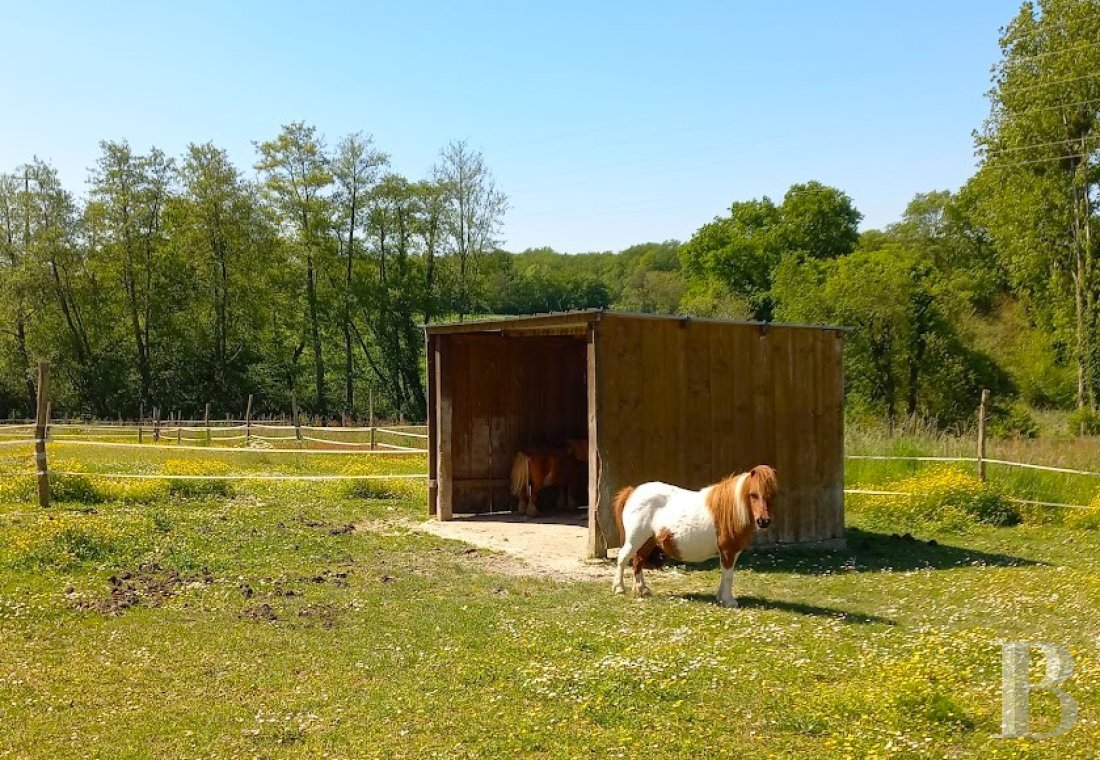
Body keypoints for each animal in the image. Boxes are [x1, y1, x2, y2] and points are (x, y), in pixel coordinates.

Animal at [616, 464, 778, 607]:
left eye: (772, 495)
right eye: (753, 494)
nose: (763, 521)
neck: (731, 510)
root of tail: (633, 492)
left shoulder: (731, 553)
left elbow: (725, 574)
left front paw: (720, 598)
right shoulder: (728, 551)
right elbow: (728, 576)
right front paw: (729, 601)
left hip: (648, 541)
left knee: (638, 561)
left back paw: (642, 589)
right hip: (634, 540)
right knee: (623, 558)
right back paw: (619, 588)